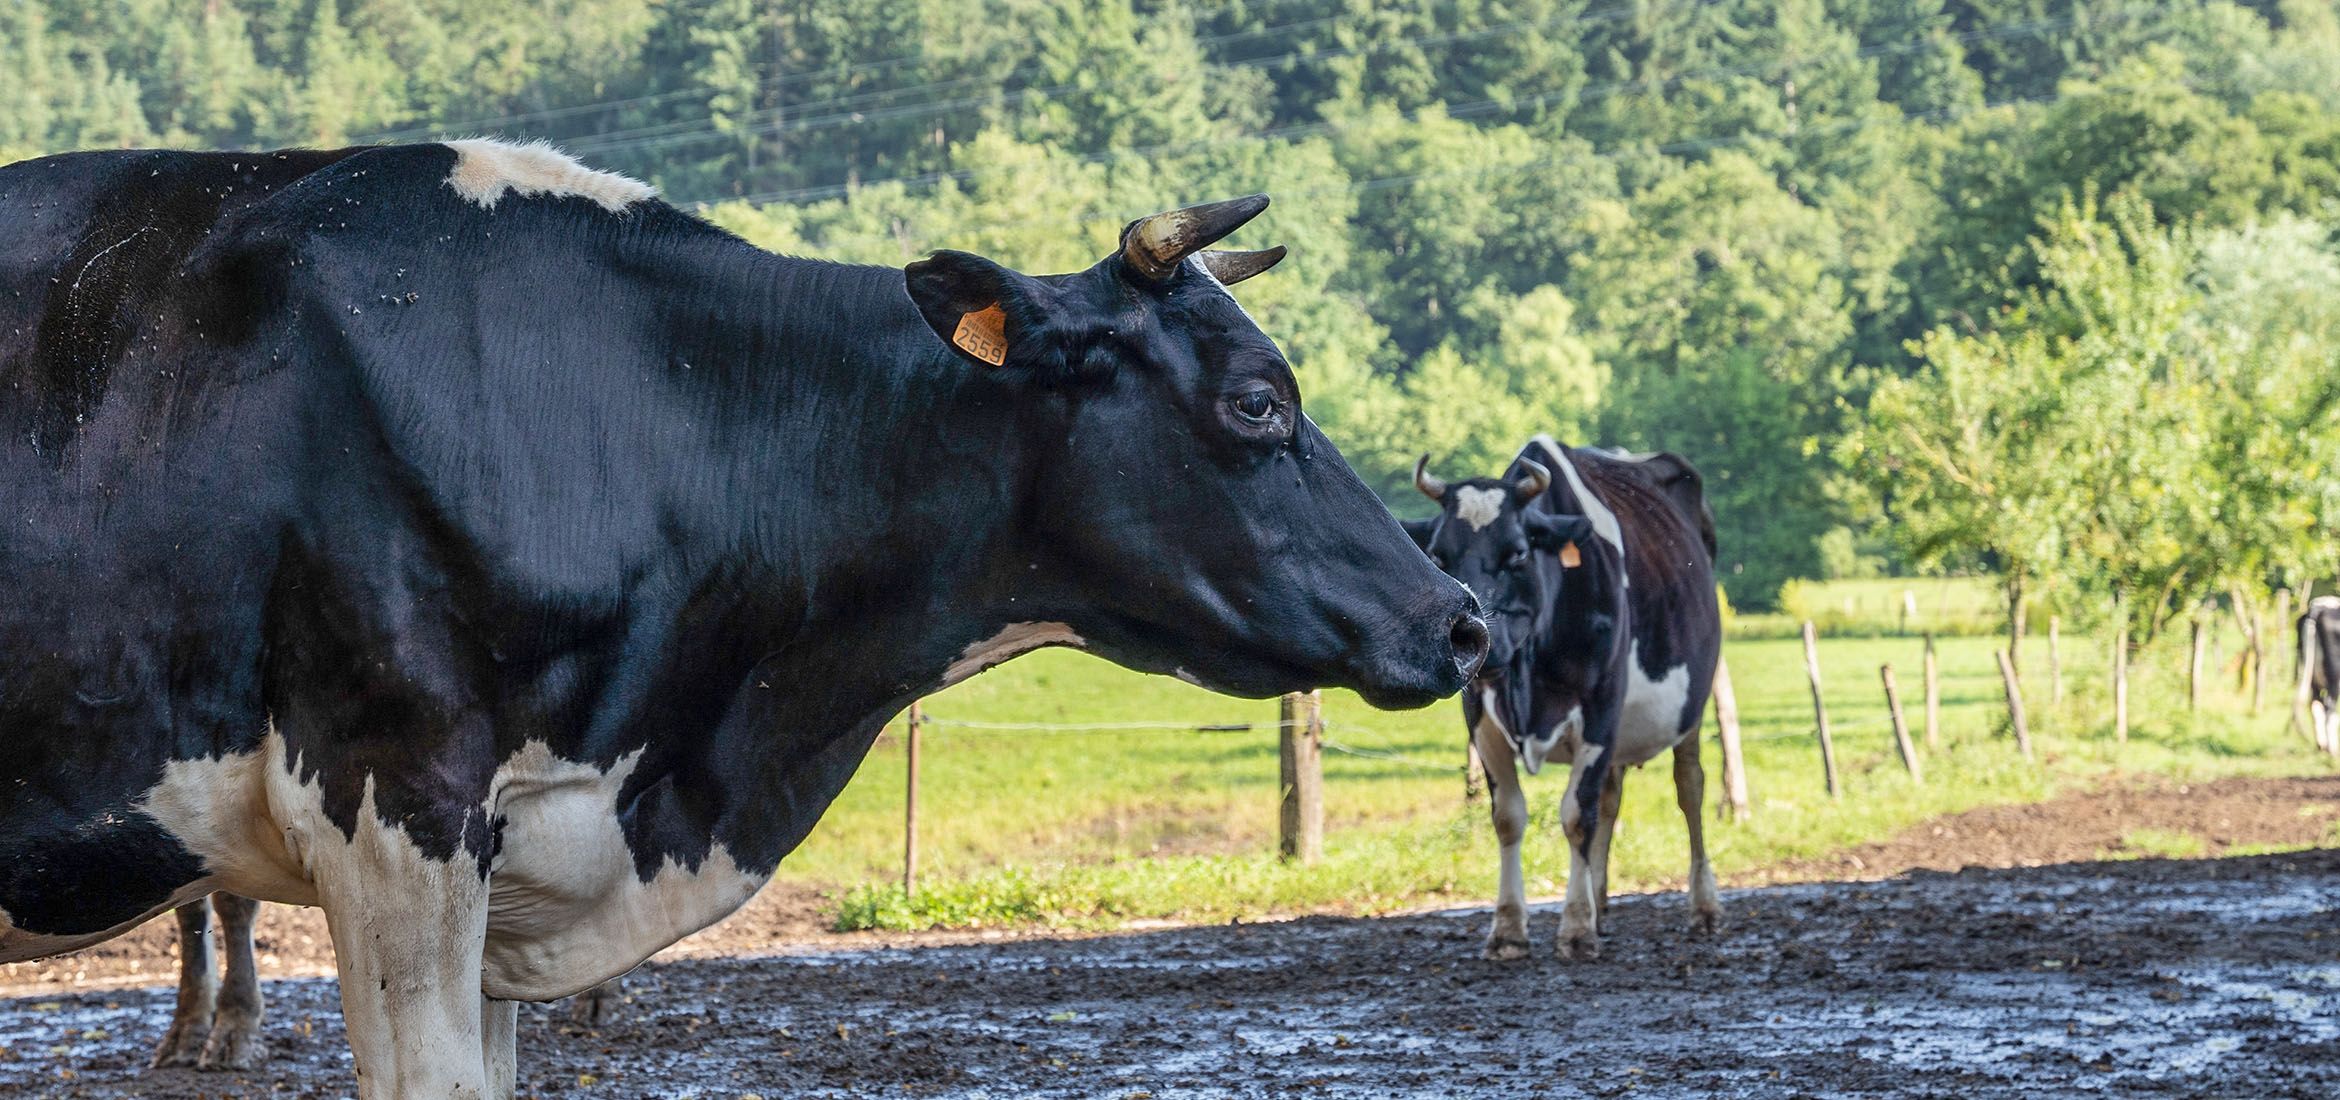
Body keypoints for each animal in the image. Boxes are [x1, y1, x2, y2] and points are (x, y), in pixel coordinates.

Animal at [1404, 432, 1722, 959]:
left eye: (1517, 554)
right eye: (1438, 558)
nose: (1475, 640)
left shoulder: (1600, 706)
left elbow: (1576, 815)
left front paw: (1575, 928)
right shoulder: (1480, 717)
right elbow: (1509, 817)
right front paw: (1509, 929)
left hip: (1692, 704)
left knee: (1689, 788)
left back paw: (1704, 906)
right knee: (1611, 799)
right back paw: (1601, 902)